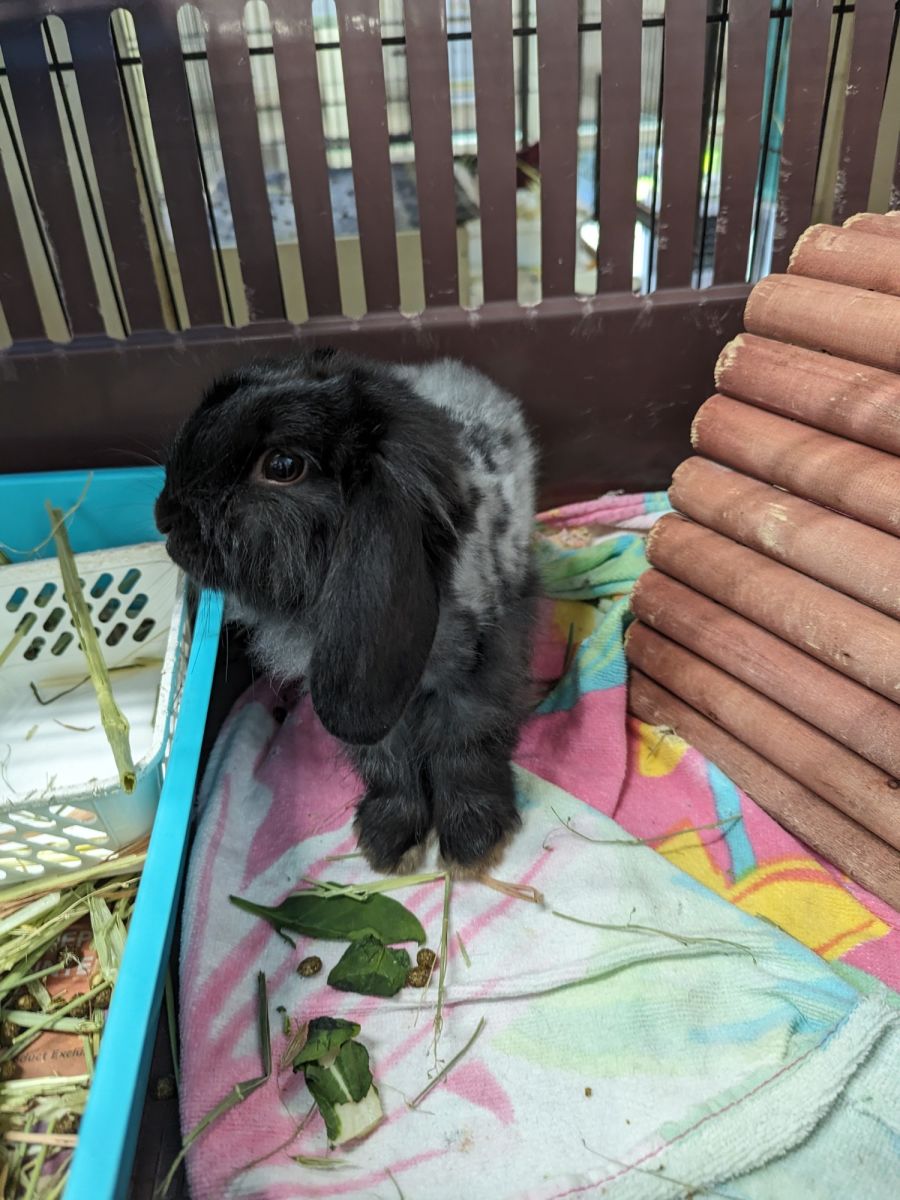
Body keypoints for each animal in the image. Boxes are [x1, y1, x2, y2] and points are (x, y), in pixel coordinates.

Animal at [155, 349, 538, 875]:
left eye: (283, 465)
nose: (164, 516)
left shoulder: (479, 676)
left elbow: (464, 748)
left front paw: (474, 841)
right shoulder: (365, 710)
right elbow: (388, 765)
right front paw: (387, 842)